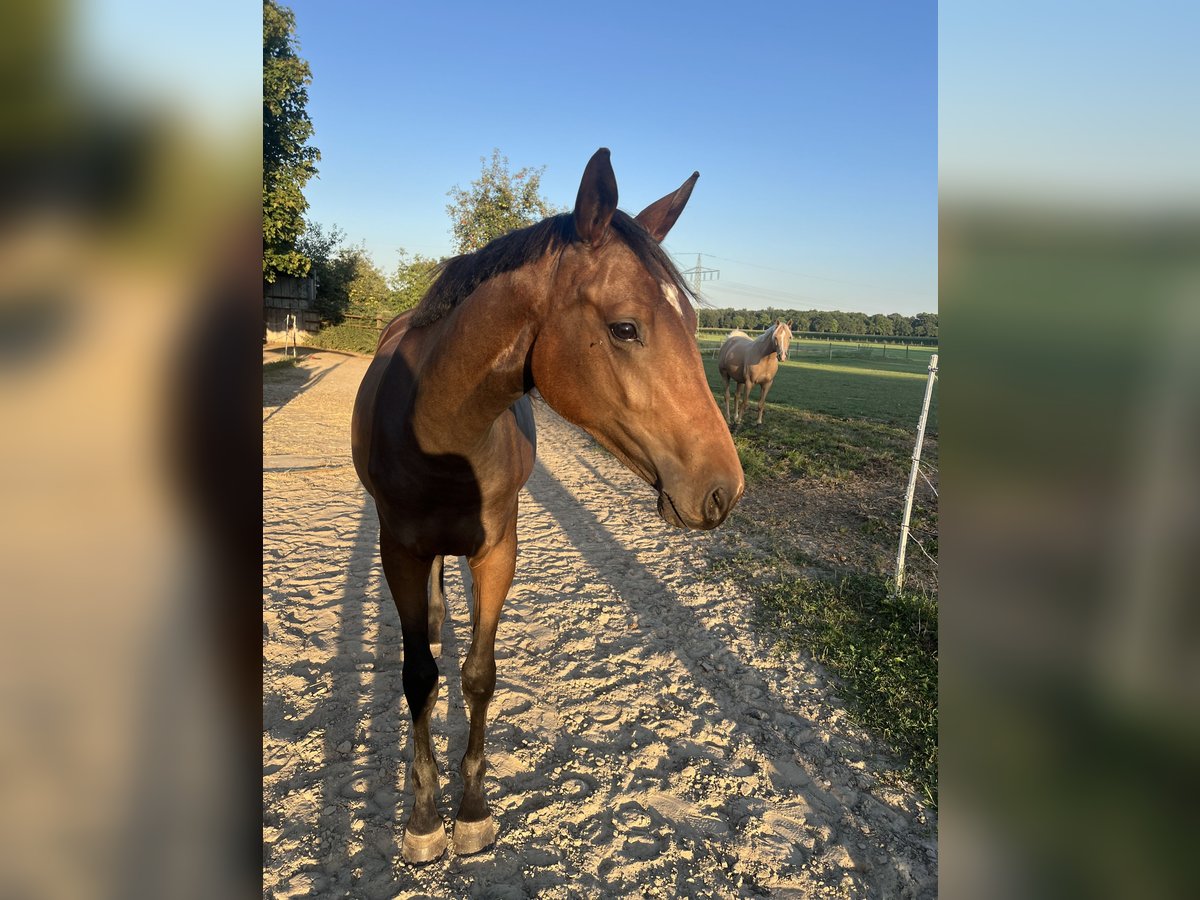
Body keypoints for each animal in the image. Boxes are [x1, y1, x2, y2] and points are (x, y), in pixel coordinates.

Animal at [350, 149, 744, 863]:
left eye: (697, 326)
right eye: (624, 327)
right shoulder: (400, 548)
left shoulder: (498, 547)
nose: (722, 489)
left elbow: (478, 675)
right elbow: (418, 676)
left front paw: (471, 814)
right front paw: (422, 821)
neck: (438, 423)